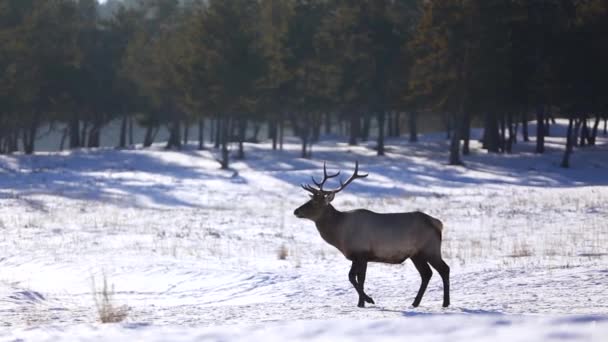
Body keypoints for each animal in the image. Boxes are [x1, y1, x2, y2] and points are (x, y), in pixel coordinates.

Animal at [292, 162, 448, 308]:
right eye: (310, 199)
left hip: (430, 249)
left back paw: (445, 303)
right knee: (426, 274)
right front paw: (361, 303)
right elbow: (356, 278)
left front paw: (367, 300)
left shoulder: (362, 254)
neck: (340, 234)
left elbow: (355, 278)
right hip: (416, 254)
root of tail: (438, 223)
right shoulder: (356, 256)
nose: (296, 211)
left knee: (444, 269)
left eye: (315, 202)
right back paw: (415, 302)